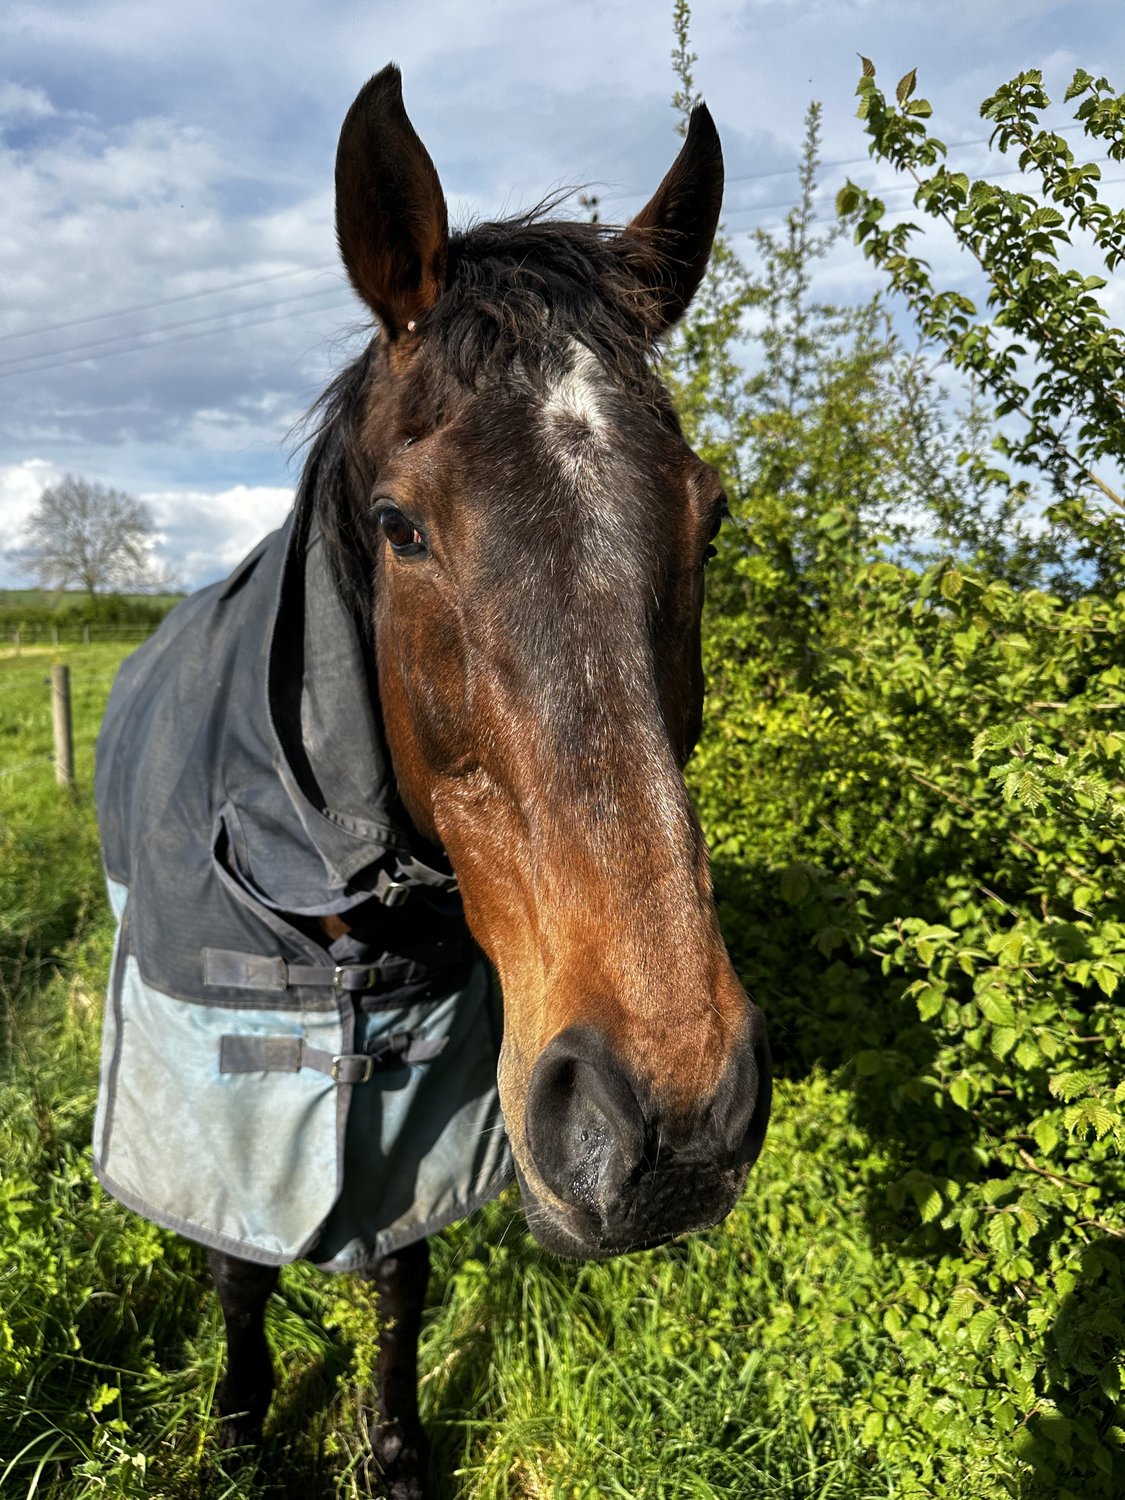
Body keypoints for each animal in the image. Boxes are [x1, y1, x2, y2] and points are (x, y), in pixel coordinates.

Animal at [201, 64, 768, 1494]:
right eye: (400, 527)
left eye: (712, 515)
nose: (670, 1125)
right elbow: (239, 1260)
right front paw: (236, 1429)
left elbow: (398, 1275)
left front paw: (395, 1448)